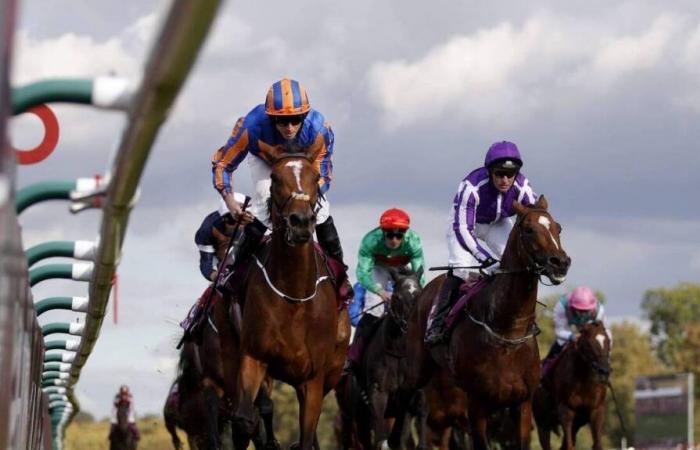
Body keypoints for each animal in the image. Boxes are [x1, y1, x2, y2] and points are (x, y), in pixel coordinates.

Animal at [223, 150, 350, 450]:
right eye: (274, 177)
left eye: (315, 176)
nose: (300, 221)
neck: (295, 296)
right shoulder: (254, 356)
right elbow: (244, 421)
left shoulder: (313, 379)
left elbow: (306, 436)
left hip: (331, 372)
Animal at [336, 268, 424, 448]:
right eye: (397, 297)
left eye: (419, 294)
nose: (412, 325)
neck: (397, 354)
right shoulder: (378, 394)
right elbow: (382, 441)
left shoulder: (406, 404)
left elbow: (399, 439)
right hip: (353, 417)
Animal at [402, 197, 572, 450]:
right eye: (529, 229)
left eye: (557, 228)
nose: (560, 262)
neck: (508, 333)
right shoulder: (476, 402)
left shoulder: (522, 403)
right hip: (416, 370)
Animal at [532, 320, 608, 450]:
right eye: (589, 344)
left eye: (608, 341)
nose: (604, 370)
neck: (583, 380)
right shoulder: (566, 411)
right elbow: (569, 445)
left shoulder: (596, 410)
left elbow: (597, 445)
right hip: (542, 422)